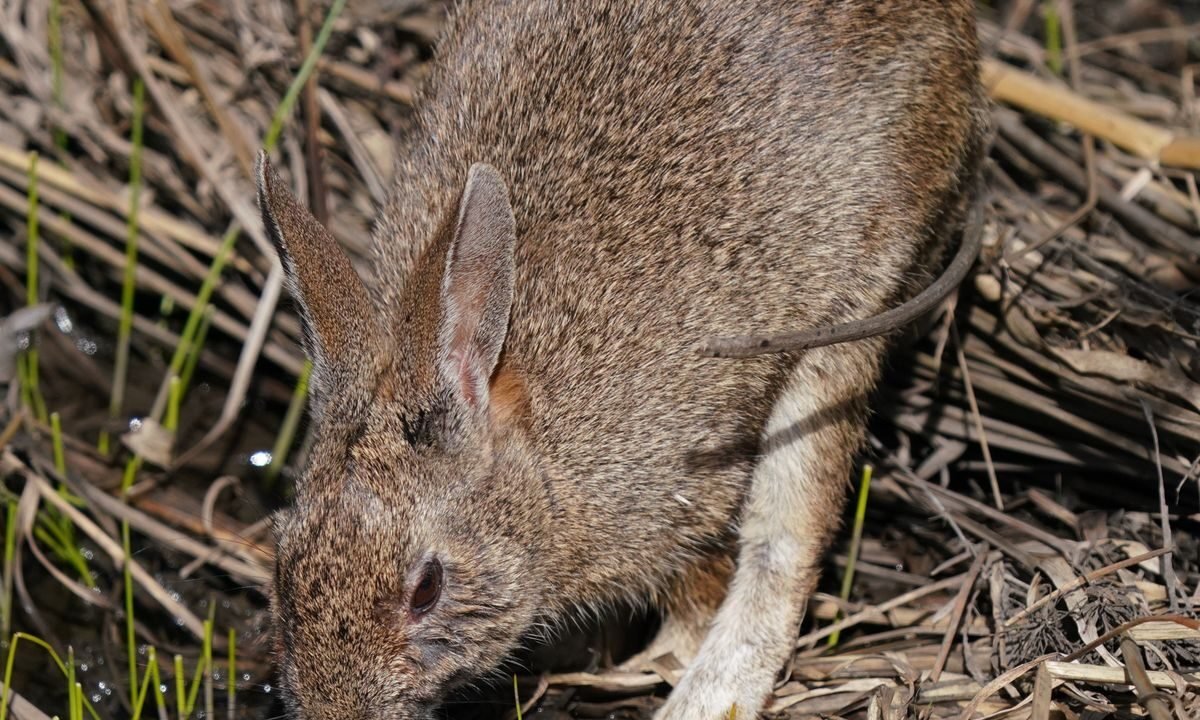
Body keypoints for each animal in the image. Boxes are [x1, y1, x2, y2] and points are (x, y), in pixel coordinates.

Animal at [256, 0, 989, 718]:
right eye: (282, 562)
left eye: (427, 587)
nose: (333, 711)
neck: (538, 467)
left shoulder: (688, 493)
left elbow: (707, 582)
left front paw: (655, 661)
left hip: (849, 315)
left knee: (787, 538)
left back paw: (703, 698)